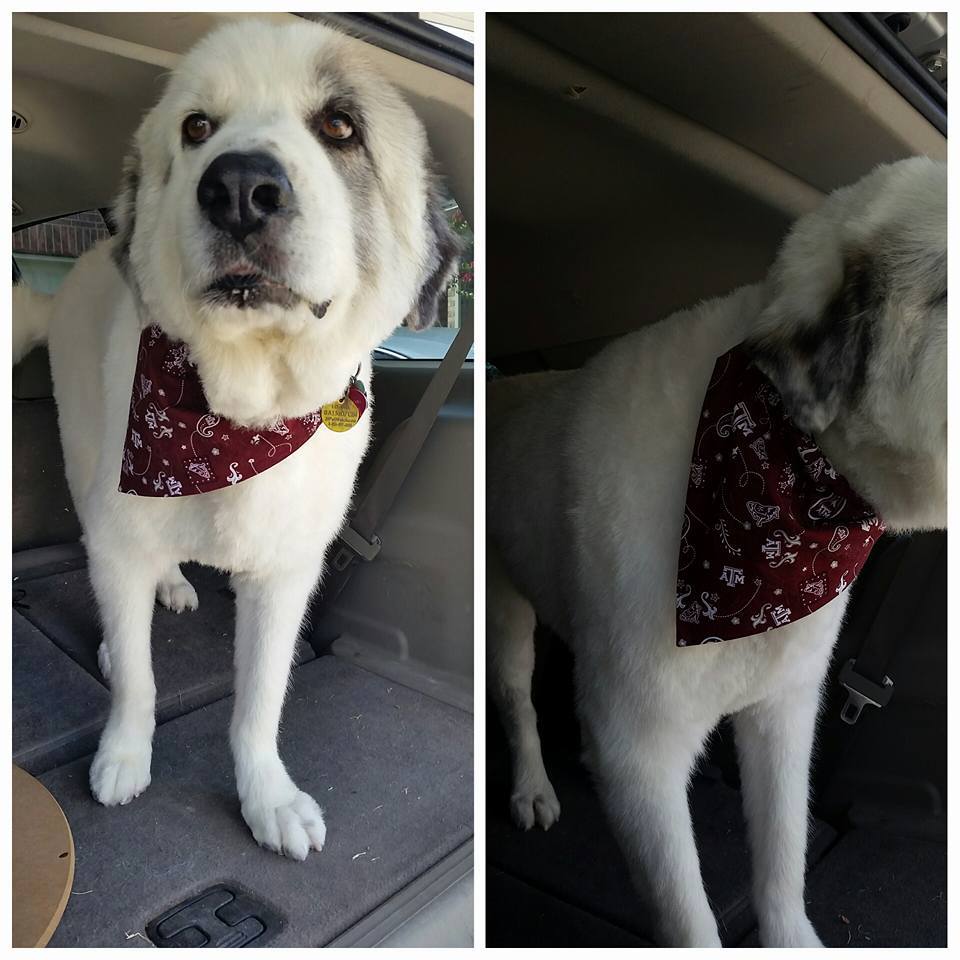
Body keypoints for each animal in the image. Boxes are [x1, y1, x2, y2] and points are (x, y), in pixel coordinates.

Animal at [14, 20, 458, 864]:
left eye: (340, 126)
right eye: (196, 129)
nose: (240, 188)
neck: (236, 424)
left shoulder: (285, 578)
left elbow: (260, 703)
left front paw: (266, 798)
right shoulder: (122, 530)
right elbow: (141, 682)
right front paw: (126, 752)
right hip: (86, 458)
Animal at [488, 158, 944, 944]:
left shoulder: (785, 712)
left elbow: (782, 862)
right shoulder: (639, 758)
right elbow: (689, 917)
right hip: (505, 616)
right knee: (518, 703)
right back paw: (534, 787)